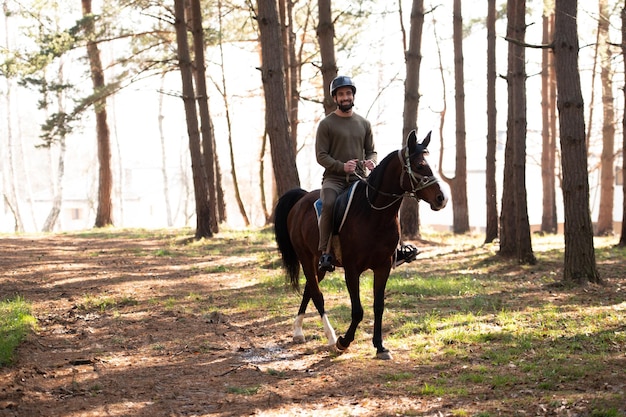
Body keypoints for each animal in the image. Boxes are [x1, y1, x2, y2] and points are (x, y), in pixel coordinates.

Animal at [272, 130, 444, 358]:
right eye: (419, 165)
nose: (441, 198)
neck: (374, 215)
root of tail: (302, 198)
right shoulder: (352, 270)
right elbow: (358, 310)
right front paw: (344, 341)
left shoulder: (383, 267)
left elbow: (378, 306)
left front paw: (380, 346)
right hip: (306, 258)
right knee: (317, 295)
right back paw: (331, 337)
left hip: (320, 264)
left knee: (309, 289)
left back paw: (298, 331)